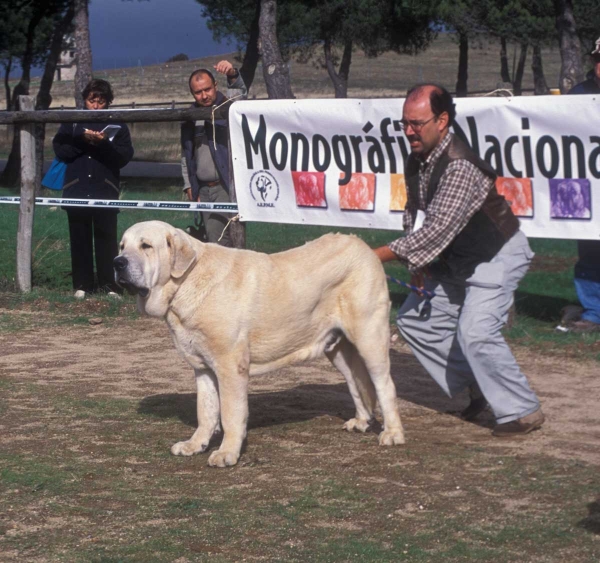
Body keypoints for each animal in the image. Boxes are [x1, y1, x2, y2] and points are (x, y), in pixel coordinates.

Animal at [115, 220, 406, 468]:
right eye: (122, 246)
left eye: (146, 246)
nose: (118, 263)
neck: (185, 283)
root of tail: (363, 246)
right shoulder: (203, 368)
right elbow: (205, 411)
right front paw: (194, 445)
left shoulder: (230, 367)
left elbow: (230, 414)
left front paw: (226, 453)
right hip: (336, 348)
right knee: (356, 381)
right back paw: (361, 421)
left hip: (370, 337)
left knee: (384, 385)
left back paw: (392, 434)